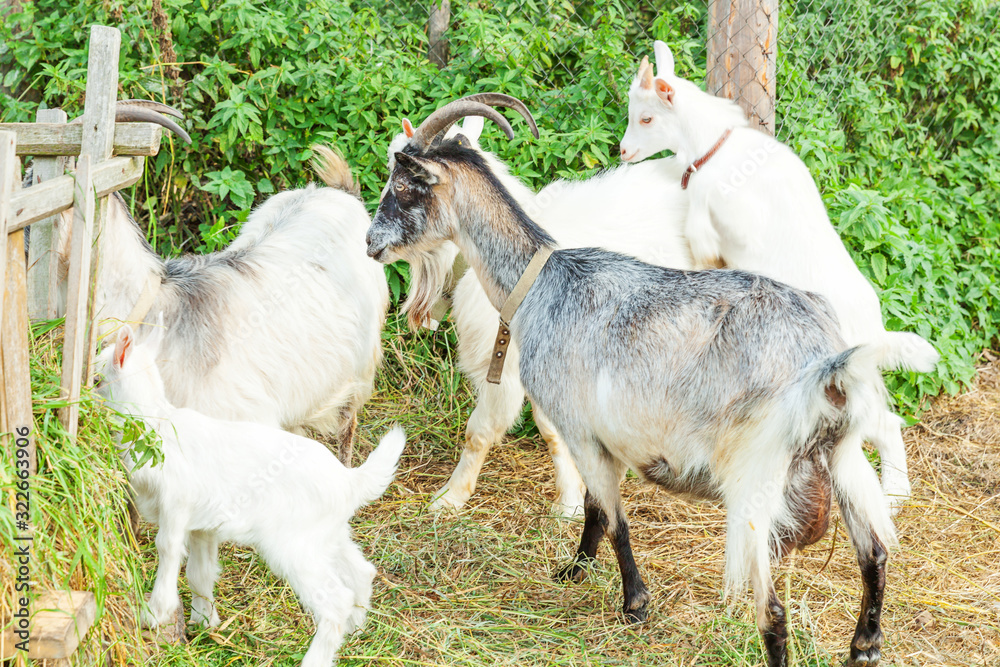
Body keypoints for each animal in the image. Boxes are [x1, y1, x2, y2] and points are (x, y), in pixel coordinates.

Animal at [95, 321, 405, 667]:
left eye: (96, 380)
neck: (156, 427)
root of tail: (349, 480)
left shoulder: (177, 503)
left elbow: (168, 549)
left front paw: (155, 613)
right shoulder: (203, 524)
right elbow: (200, 572)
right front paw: (204, 622)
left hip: (293, 544)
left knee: (336, 600)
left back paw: (316, 656)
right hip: (328, 534)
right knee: (362, 571)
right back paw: (357, 630)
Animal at [385, 108, 694, 516]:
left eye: (403, 181)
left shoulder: (503, 367)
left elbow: (479, 432)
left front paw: (449, 498)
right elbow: (551, 431)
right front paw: (569, 502)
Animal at [619, 42, 939, 512]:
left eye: (645, 118)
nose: (623, 153)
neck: (716, 150)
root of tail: (875, 331)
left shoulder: (734, 224)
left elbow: (705, 232)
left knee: (884, 423)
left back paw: (892, 496)